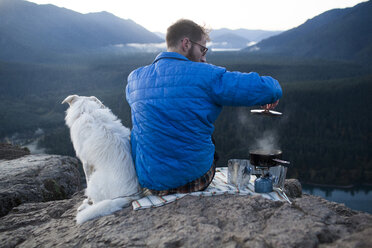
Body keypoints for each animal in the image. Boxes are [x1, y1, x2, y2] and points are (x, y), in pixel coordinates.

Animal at [61, 95, 142, 225]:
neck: (86, 111)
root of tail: (132, 196)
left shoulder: (86, 163)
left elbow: (87, 181)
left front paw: (87, 200)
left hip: (95, 181)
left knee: (97, 201)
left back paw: (86, 206)